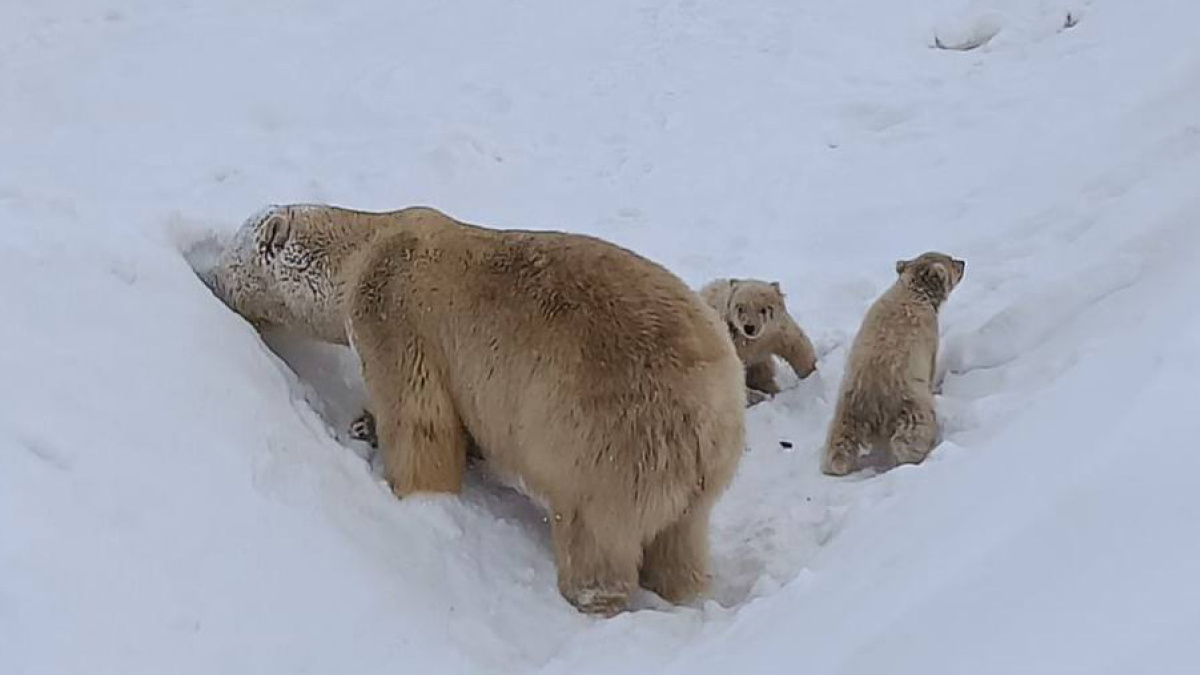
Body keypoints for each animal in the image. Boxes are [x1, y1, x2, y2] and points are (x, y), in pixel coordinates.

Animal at [207, 201, 748, 612]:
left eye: (232, 253)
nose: (209, 276)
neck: (366, 247)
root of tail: (711, 416)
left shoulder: (393, 317)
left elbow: (421, 419)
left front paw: (407, 488)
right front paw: (365, 425)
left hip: (611, 443)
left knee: (593, 531)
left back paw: (591, 596)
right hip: (694, 474)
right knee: (681, 537)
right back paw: (681, 588)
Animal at [825, 249, 964, 475]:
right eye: (950, 261)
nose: (963, 263)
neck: (913, 291)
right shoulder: (929, 337)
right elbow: (932, 369)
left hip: (848, 408)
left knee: (839, 440)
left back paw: (835, 464)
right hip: (909, 404)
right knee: (912, 435)